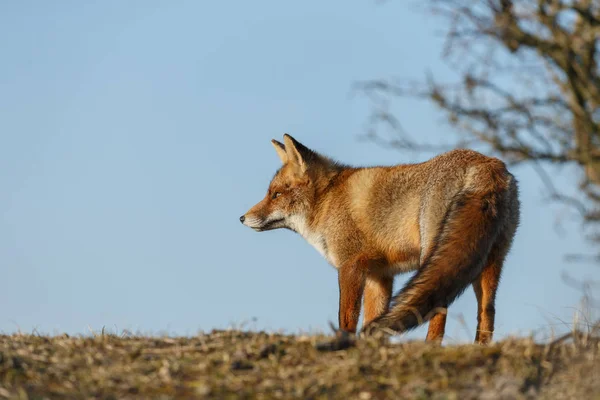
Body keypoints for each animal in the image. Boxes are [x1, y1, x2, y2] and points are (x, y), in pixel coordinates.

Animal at [241, 134, 516, 344]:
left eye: (276, 194)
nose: (242, 218)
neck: (327, 201)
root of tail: (485, 164)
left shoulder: (350, 265)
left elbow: (346, 317)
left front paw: (345, 343)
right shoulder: (379, 275)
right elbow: (373, 319)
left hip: (436, 255)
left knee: (440, 306)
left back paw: (430, 346)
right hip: (490, 262)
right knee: (487, 311)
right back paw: (481, 347)